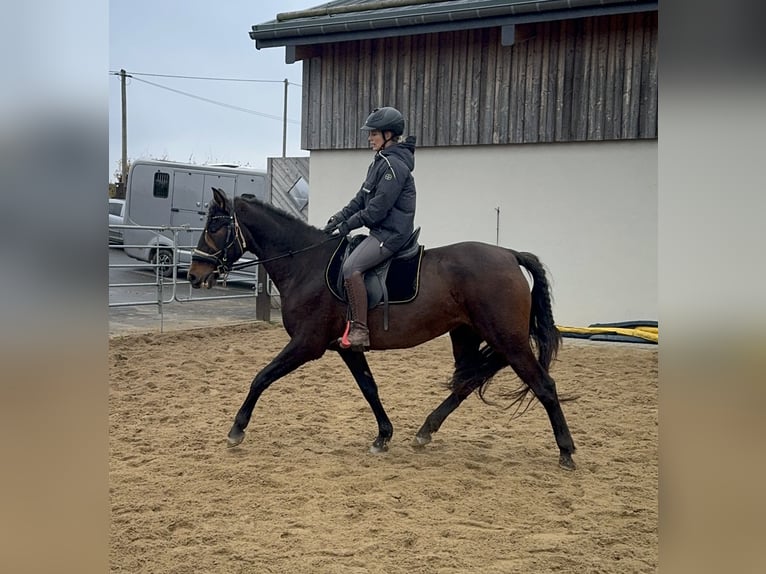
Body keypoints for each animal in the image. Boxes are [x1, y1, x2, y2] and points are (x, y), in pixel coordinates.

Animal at [189, 189, 580, 472]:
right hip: (467, 334)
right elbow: (370, 389)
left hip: (508, 339)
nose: (194, 275)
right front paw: (383, 436)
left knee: (543, 385)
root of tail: (510, 255)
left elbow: (261, 377)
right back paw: (424, 432)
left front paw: (236, 430)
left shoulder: (306, 344)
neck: (305, 264)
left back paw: (566, 452)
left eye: (214, 227)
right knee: (467, 383)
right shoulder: (346, 347)